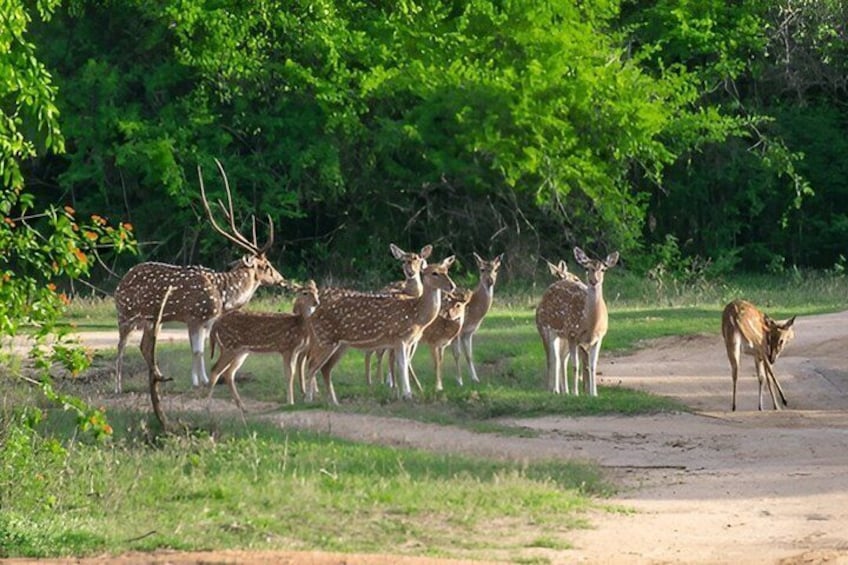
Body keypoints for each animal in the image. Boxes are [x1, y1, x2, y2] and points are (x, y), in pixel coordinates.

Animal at [113, 159, 285, 394]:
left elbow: (201, 349)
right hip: (126, 314)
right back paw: (118, 386)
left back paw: (159, 377)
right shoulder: (194, 316)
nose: (281, 278)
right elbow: (196, 350)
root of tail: (118, 286)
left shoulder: (207, 321)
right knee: (121, 345)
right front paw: (197, 382)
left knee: (144, 346)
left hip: (152, 320)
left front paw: (203, 380)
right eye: (266, 265)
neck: (223, 296)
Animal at [207, 280, 319, 409]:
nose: (317, 302)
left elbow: (292, 372)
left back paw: (242, 407)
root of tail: (215, 324)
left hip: (240, 351)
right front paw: (290, 402)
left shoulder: (295, 350)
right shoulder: (287, 348)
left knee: (228, 373)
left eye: (317, 291)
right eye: (305, 293)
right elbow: (289, 374)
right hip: (228, 347)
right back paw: (207, 407)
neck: (299, 325)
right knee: (215, 370)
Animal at [305, 255, 456, 404]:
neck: (416, 315)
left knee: (325, 368)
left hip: (341, 344)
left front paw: (405, 394)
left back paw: (333, 401)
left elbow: (404, 364)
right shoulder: (399, 337)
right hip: (325, 339)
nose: (452, 286)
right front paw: (407, 395)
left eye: (446, 271)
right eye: (434, 273)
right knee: (312, 366)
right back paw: (309, 399)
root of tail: (312, 316)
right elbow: (402, 365)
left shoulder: (407, 342)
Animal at [448, 253, 504, 386]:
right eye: (482, 269)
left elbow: (469, 355)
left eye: (496, 269)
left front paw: (475, 378)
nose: (490, 280)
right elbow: (457, 354)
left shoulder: (468, 332)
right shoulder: (457, 330)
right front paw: (459, 381)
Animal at [535, 247, 618, 396]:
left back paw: (561, 390)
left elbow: (592, 366)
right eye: (587, 268)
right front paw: (576, 393)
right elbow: (575, 366)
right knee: (552, 358)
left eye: (603, 269)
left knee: (559, 358)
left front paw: (593, 394)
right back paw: (553, 389)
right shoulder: (573, 334)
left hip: (561, 336)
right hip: (544, 328)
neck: (591, 325)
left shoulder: (599, 338)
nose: (593, 281)